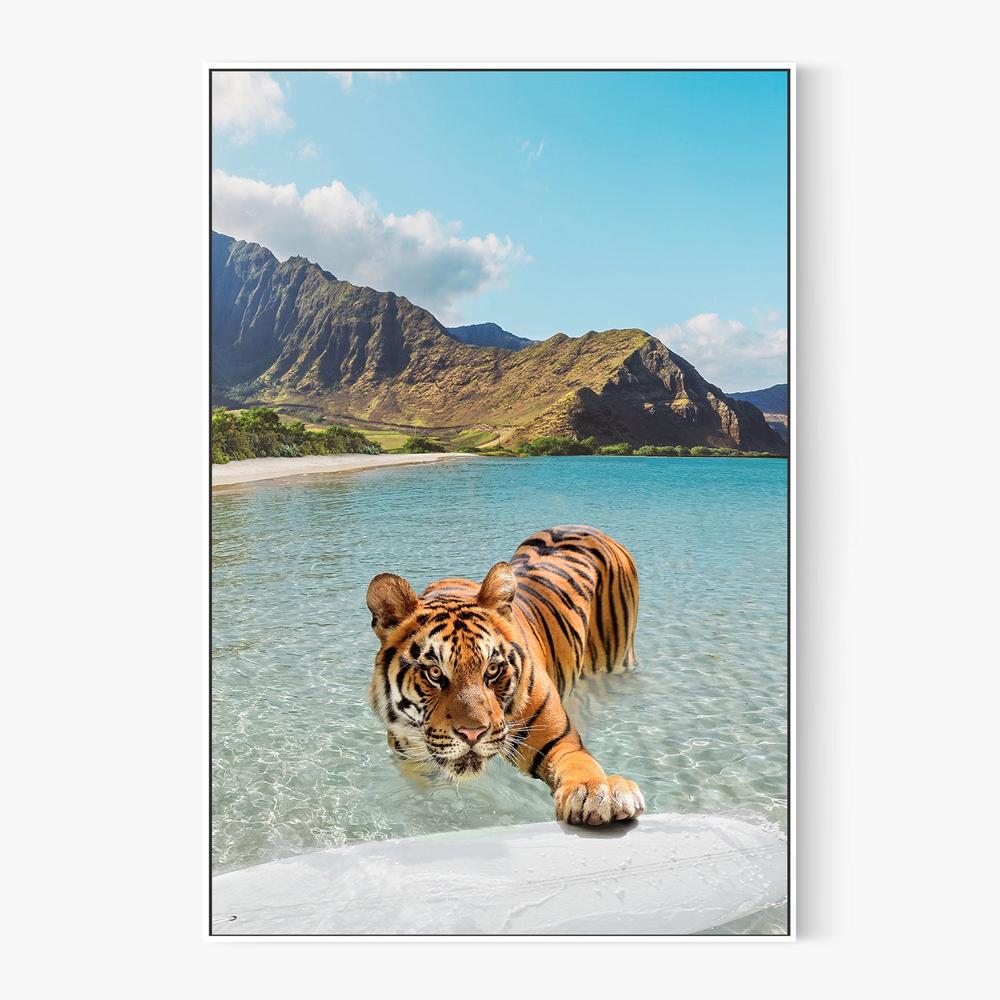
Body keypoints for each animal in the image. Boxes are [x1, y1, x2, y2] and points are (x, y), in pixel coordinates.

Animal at [366, 525, 645, 825]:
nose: (472, 734)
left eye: (492, 669)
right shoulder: (411, 758)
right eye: (434, 672)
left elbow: (579, 763)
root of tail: (586, 527)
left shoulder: (560, 740)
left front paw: (598, 792)